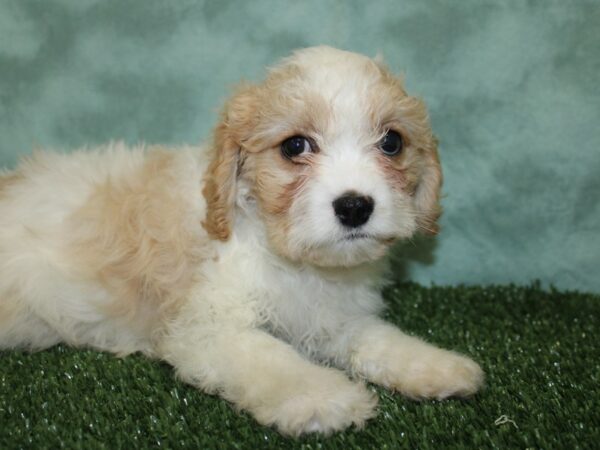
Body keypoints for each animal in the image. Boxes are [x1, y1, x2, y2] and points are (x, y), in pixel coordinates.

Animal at [0, 46, 480, 436]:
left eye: (392, 142)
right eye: (295, 146)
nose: (354, 206)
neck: (284, 255)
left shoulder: (332, 318)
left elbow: (378, 339)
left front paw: (437, 365)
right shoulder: (209, 328)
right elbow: (273, 358)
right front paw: (325, 398)